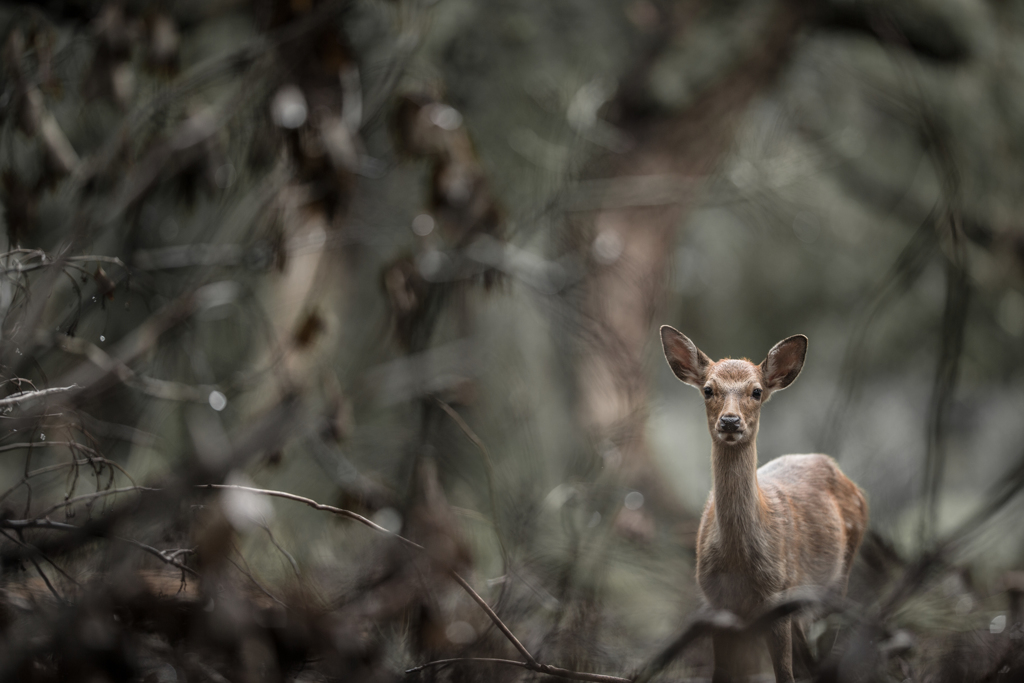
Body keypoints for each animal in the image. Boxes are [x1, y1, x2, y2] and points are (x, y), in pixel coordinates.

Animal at [659, 327, 868, 679]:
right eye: (708, 389)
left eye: (756, 391)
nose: (730, 421)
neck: (738, 562)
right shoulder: (717, 603)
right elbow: (723, 674)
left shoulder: (777, 596)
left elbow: (784, 674)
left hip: (838, 576)